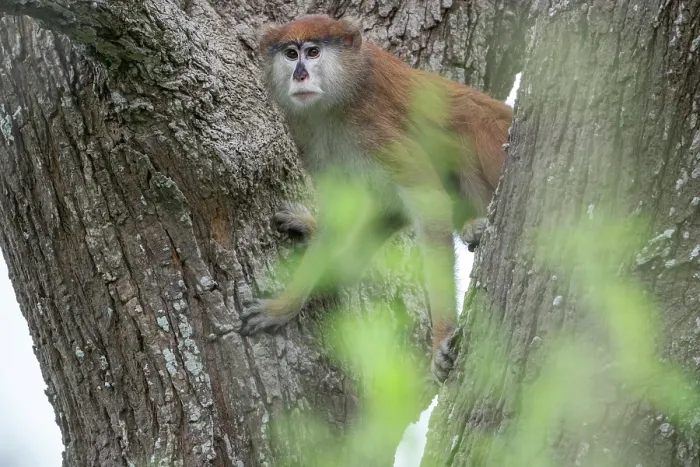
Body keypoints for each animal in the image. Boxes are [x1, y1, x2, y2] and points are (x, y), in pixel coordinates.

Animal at [238, 14, 512, 383]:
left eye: (313, 52)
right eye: (290, 53)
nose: (300, 75)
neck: (341, 97)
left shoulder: (377, 130)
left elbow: (428, 204)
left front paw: (442, 339)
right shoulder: (308, 133)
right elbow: (346, 218)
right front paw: (284, 306)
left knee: (470, 117)